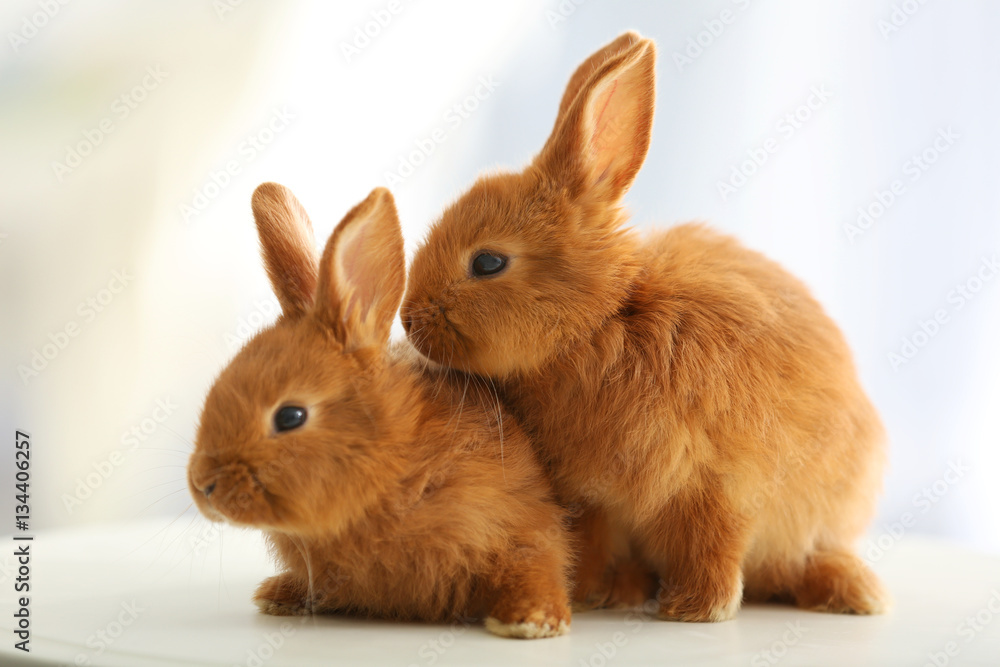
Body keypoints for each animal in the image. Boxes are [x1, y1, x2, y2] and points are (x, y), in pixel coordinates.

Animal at [186, 182, 572, 638]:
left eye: (290, 417)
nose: (203, 486)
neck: (395, 461)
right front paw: (281, 595)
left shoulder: (522, 521)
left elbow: (535, 562)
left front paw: (531, 621)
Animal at [400, 31, 889, 621]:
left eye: (488, 262)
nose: (407, 319)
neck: (601, 323)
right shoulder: (593, 500)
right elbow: (595, 542)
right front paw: (592, 594)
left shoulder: (716, 484)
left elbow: (714, 546)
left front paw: (695, 610)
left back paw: (854, 592)